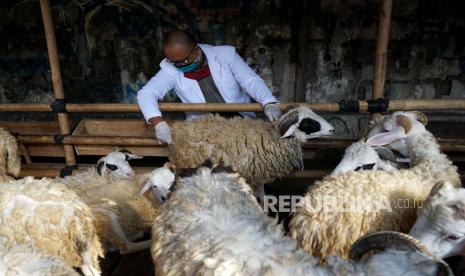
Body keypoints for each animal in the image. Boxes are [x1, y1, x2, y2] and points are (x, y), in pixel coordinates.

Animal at [167, 105, 334, 196]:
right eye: (307, 123)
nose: (332, 130)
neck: (271, 137)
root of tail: (179, 130)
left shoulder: (258, 175)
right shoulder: (250, 175)